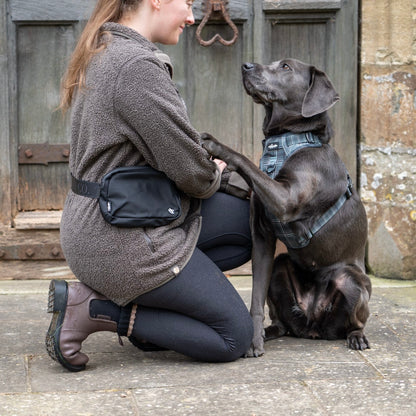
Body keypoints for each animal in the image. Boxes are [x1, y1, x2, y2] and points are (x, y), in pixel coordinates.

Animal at [202, 59, 370, 358]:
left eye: (285, 67)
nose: (245, 65)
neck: (288, 141)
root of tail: (313, 326)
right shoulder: (262, 234)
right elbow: (256, 297)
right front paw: (253, 340)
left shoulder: (285, 200)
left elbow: (247, 161)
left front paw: (217, 146)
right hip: (280, 267)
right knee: (282, 322)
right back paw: (270, 332)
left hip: (351, 280)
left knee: (355, 320)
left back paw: (357, 337)